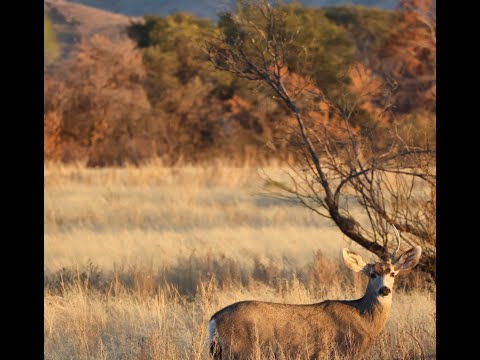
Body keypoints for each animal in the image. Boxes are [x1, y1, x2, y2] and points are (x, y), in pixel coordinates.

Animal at [208, 229, 422, 358]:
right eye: (372, 274)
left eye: (393, 273)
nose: (384, 290)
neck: (364, 319)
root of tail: (214, 319)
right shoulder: (344, 351)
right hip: (239, 349)